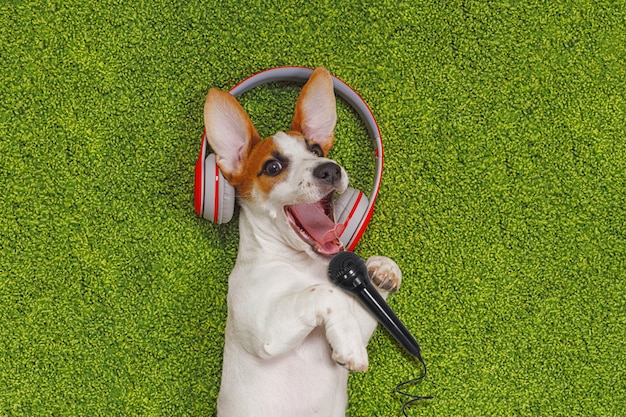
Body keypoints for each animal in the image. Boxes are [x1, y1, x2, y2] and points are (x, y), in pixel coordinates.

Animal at [202, 66, 402, 414]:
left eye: (316, 151)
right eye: (273, 166)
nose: (330, 169)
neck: (302, 265)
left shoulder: (358, 318)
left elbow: (356, 307)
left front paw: (383, 272)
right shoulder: (265, 330)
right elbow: (325, 293)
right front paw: (351, 348)